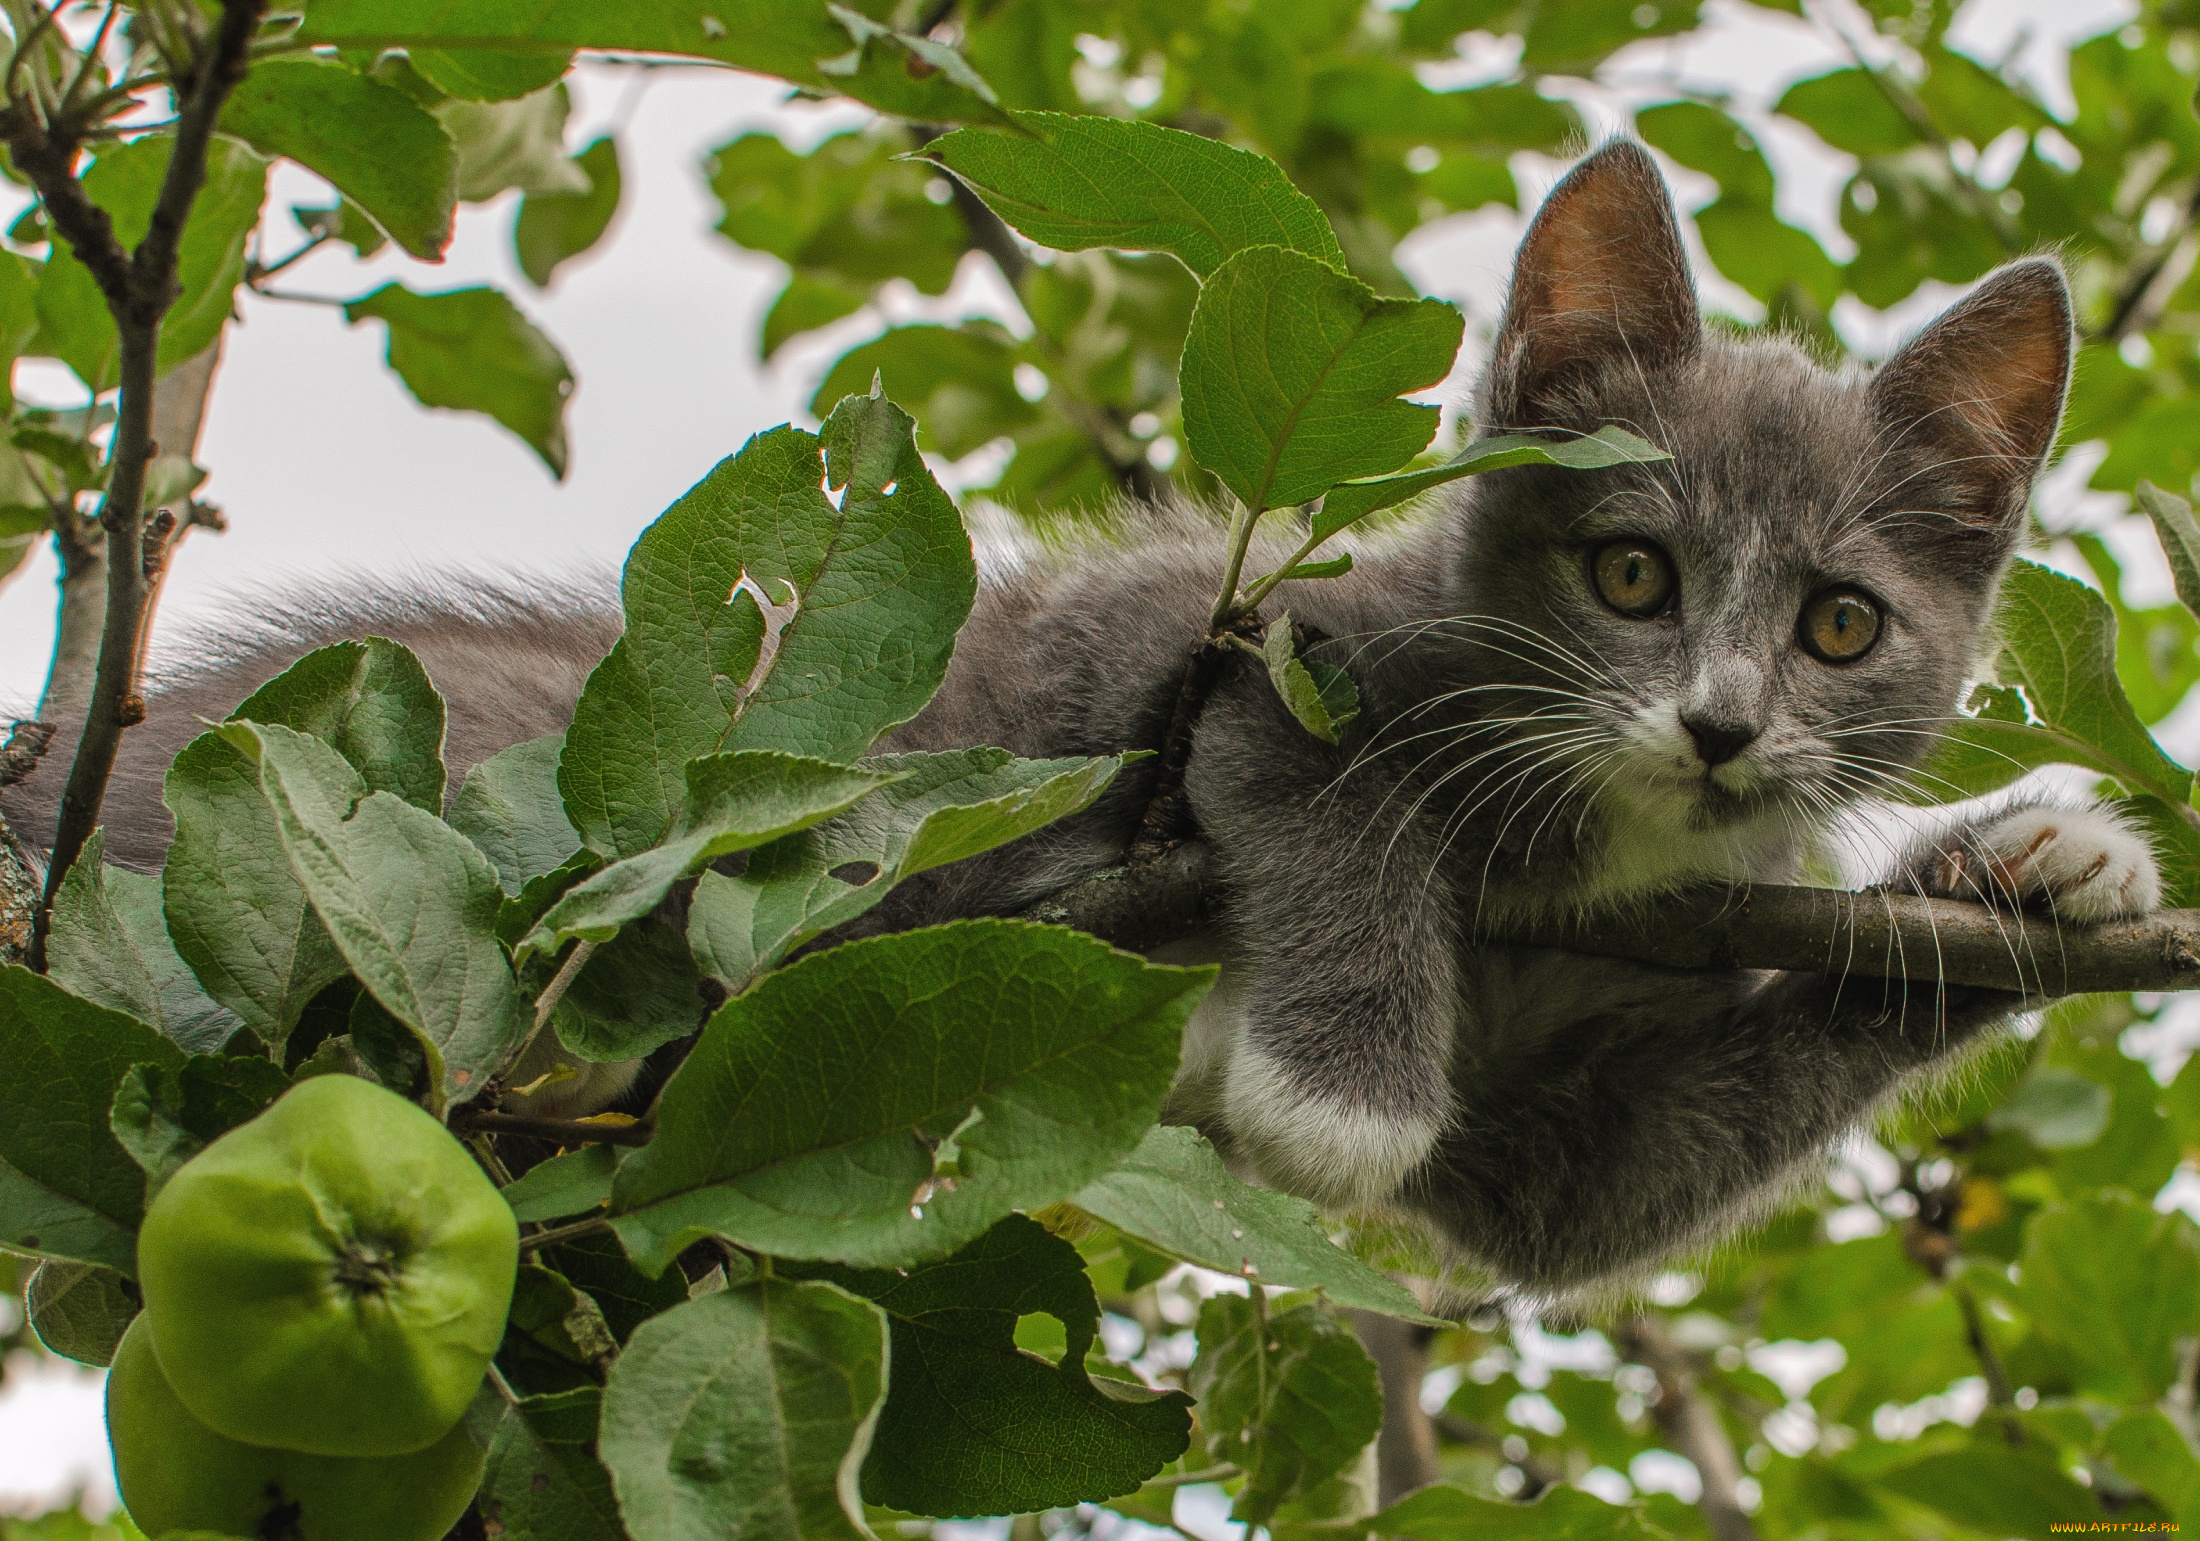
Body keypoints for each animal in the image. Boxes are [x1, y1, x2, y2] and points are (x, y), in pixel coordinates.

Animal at [0, 144, 2156, 1294]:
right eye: (1629, 575)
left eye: (1838, 624)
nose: (1714, 728)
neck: (1591, 840)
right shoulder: (1199, 628)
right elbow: (1302, 770)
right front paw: (1338, 1075)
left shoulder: (1590, 1066)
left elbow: (1600, 1183)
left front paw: (2033, 864)